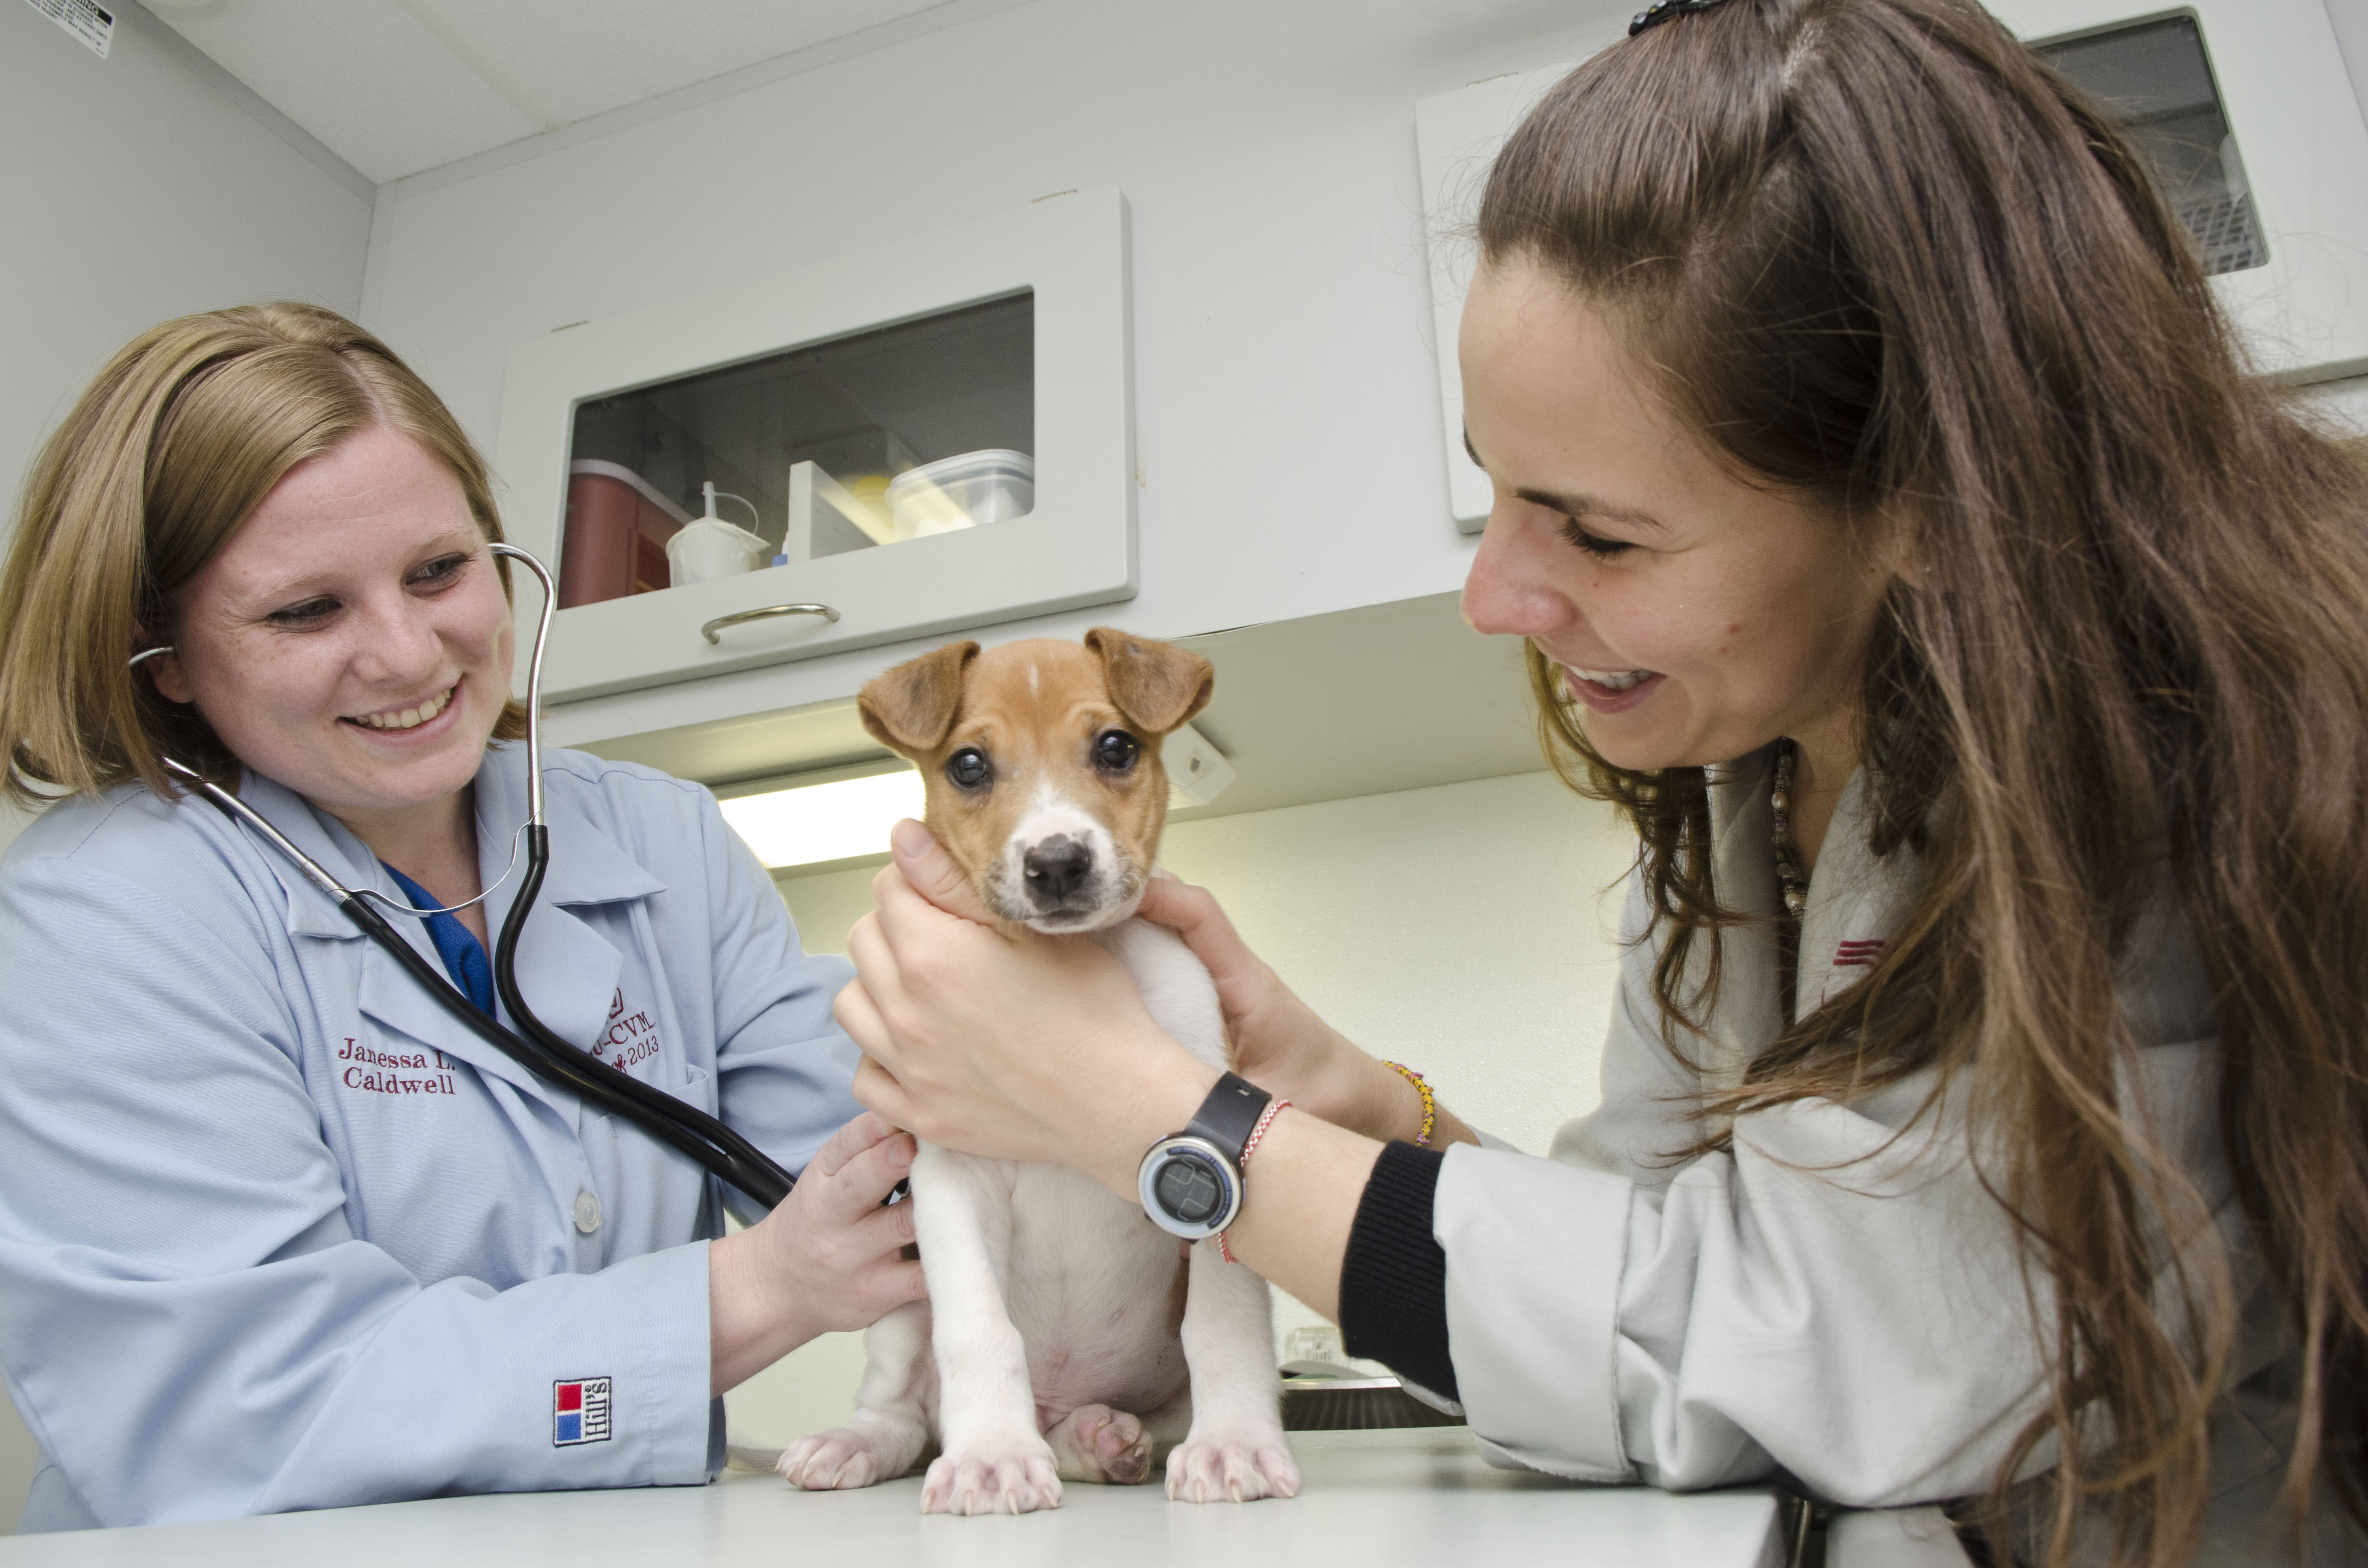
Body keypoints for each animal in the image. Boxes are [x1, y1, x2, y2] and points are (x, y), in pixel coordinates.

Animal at [772, 635, 1297, 1516]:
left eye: (1115, 747)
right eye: (969, 765)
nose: (1057, 863)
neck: (1080, 955)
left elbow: (1222, 1325)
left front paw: (1233, 1444)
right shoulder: (951, 1181)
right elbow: (980, 1330)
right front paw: (991, 1454)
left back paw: (1099, 1439)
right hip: (899, 1306)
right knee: (902, 1412)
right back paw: (858, 1444)